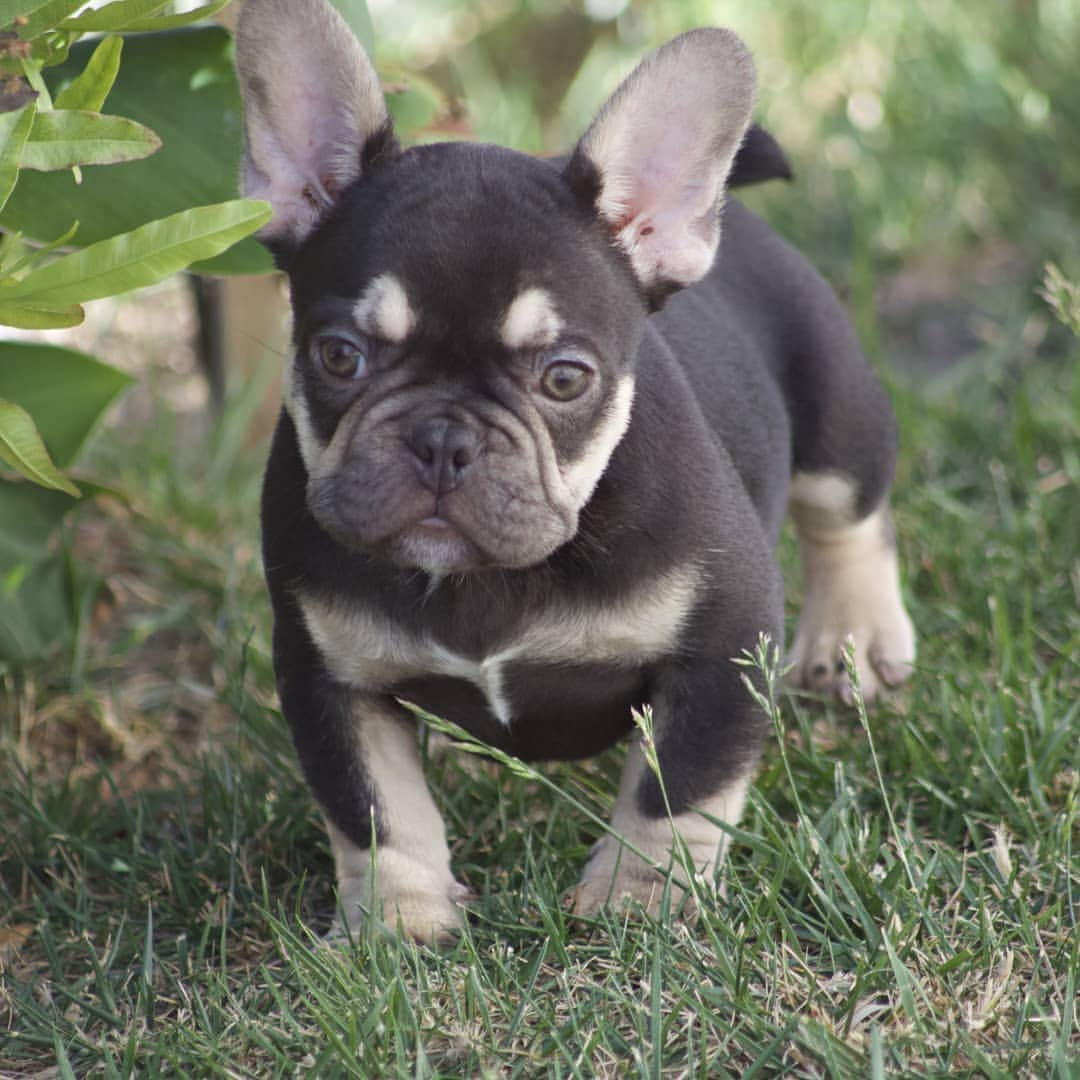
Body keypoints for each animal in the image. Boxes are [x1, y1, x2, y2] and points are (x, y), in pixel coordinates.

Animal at [234, 0, 911, 941]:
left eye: (564, 378)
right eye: (339, 356)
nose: (443, 438)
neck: (489, 579)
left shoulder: (725, 644)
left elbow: (680, 785)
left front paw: (646, 900)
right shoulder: (327, 673)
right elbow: (376, 807)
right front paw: (398, 926)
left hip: (834, 412)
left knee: (850, 513)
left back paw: (856, 637)